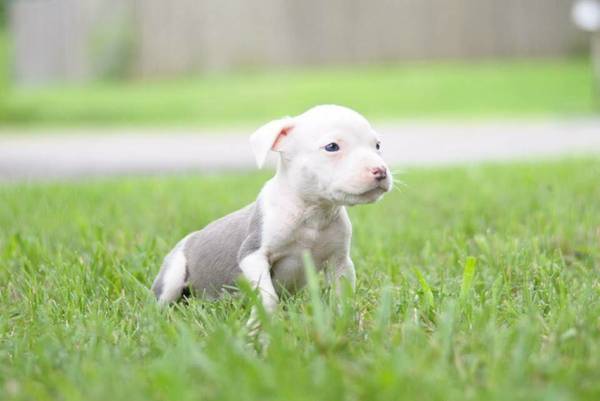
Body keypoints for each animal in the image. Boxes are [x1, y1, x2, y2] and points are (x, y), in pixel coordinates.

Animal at [152, 104, 392, 314]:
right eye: (332, 147)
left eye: (378, 146)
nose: (380, 171)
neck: (312, 213)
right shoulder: (253, 254)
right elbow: (269, 297)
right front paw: (263, 325)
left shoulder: (340, 262)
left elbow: (343, 296)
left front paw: (344, 318)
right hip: (174, 272)